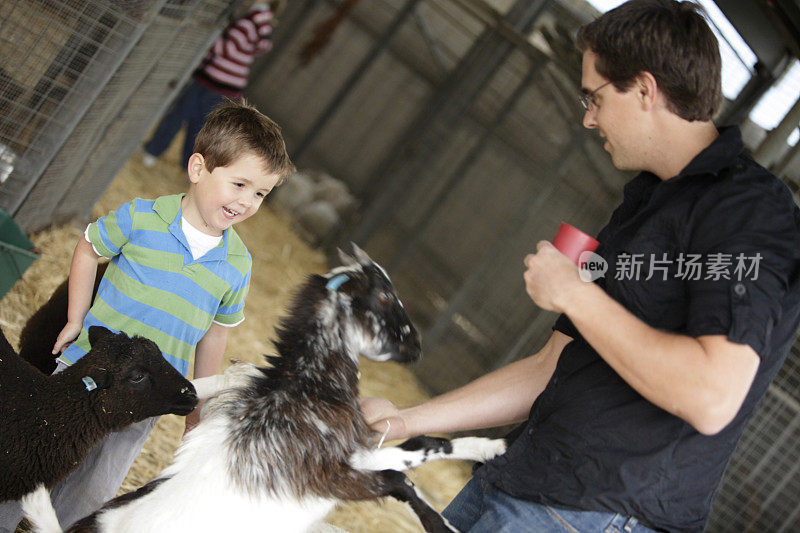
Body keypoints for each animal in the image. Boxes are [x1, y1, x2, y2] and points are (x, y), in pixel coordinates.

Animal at [21, 245, 504, 532]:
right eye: (384, 296)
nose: (417, 346)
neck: (300, 389)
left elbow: (421, 449)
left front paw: (486, 450)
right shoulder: (338, 475)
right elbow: (407, 470)